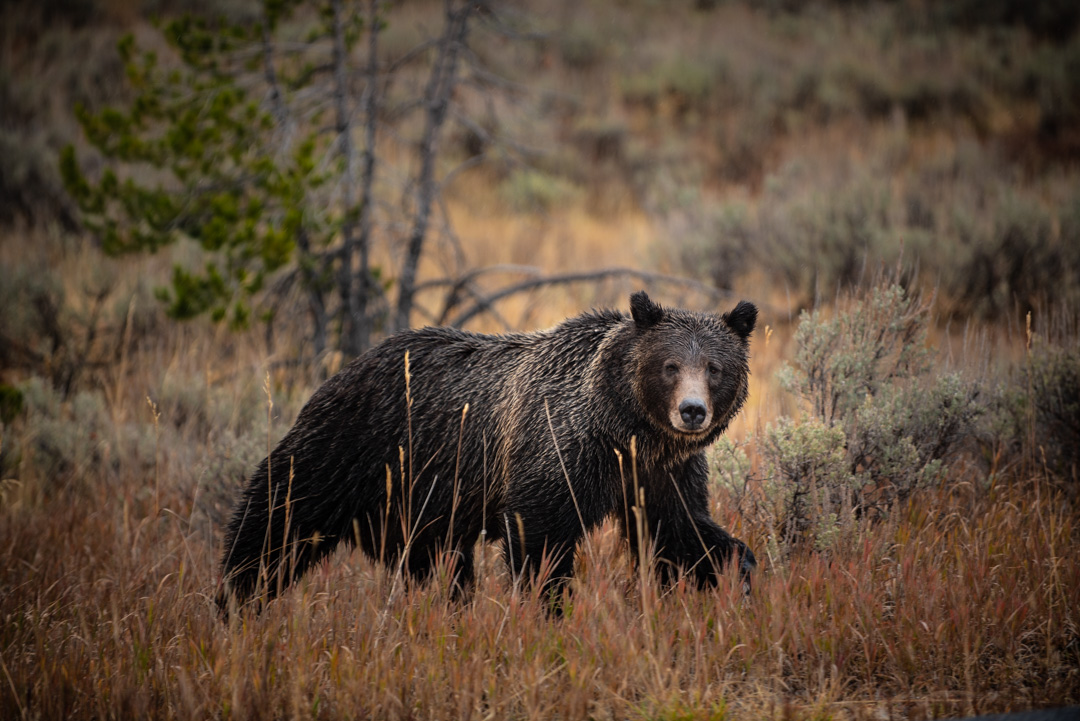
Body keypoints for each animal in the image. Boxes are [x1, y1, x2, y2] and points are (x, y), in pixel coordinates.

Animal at [217, 289, 760, 613]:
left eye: (714, 368)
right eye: (670, 365)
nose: (692, 411)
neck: (623, 427)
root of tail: (347, 365)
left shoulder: (659, 473)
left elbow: (684, 531)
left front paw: (739, 577)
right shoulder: (558, 452)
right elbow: (540, 544)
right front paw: (547, 609)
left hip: (422, 501)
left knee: (434, 563)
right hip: (351, 446)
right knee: (278, 516)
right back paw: (234, 601)